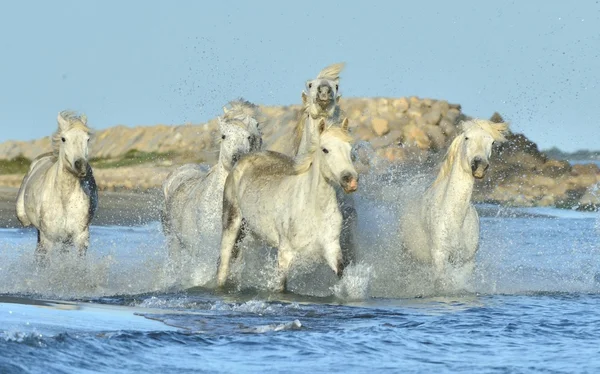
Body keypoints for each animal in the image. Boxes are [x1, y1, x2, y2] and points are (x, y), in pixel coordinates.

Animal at [16, 110, 97, 258]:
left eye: (87, 139)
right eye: (64, 139)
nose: (81, 166)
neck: (64, 198)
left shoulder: (80, 237)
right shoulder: (48, 238)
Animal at [218, 118, 358, 290]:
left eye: (350, 149)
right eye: (325, 149)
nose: (350, 180)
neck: (313, 209)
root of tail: (241, 160)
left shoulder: (332, 249)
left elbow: (341, 273)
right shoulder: (285, 253)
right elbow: (281, 287)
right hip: (231, 224)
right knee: (223, 266)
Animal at [400, 119, 508, 284]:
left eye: (492, 142)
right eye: (467, 138)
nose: (479, 165)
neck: (454, 219)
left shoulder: (466, 260)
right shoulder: (439, 256)